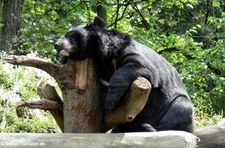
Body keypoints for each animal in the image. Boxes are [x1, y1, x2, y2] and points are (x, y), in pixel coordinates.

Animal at [55, 16, 195, 133]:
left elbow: (137, 67)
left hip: (173, 105)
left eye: (71, 35)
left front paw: (111, 101)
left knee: (181, 109)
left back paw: (149, 128)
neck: (98, 56)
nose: (56, 44)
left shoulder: (126, 50)